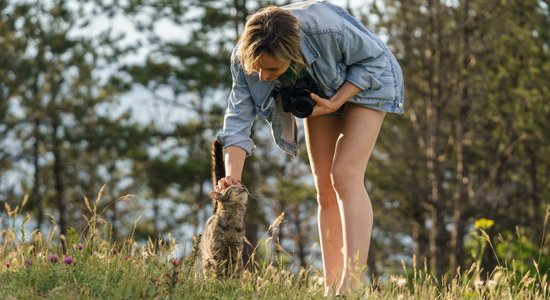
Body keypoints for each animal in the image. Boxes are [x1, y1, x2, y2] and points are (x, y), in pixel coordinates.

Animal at [199, 139, 249, 278]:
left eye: (241, 185)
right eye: (233, 188)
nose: (244, 187)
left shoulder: (236, 251)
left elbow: (233, 271)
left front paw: (231, 282)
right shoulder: (217, 252)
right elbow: (219, 271)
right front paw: (218, 282)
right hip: (206, 261)